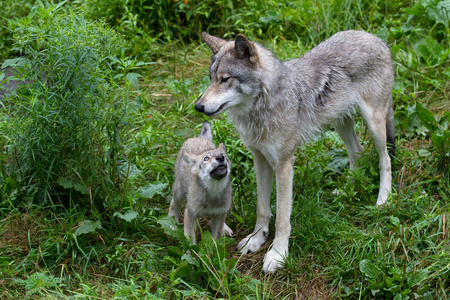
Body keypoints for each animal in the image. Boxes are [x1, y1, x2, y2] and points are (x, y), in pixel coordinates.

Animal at [194, 31, 394, 274]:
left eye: (225, 79)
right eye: (211, 78)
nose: (198, 107)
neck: (263, 106)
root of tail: (377, 38)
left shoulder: (284, 165)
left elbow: (281, 217)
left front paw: (278, 255)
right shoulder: (260, 160)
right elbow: (262, 208)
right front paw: (256, 239)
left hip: (374, 124)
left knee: (385, 159)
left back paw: (384, 199)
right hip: (340, 124)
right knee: (357, 152)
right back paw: (346, 190)